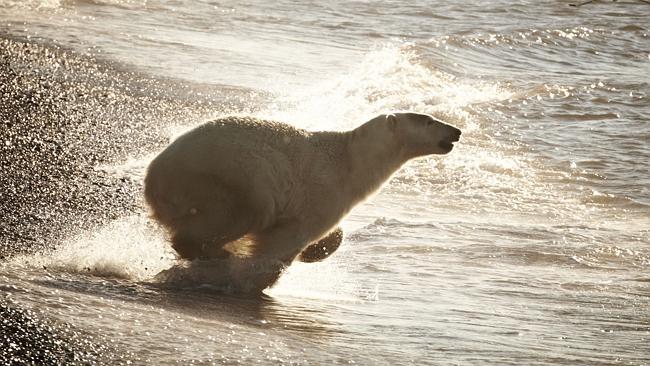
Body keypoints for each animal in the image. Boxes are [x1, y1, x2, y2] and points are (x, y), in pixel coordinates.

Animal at [146, 113, 460, 290]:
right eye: (430, 120)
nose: (456, 131)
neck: (350, 160)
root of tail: (154, 176)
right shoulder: (322, 192)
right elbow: (284, 240)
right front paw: (252, 278)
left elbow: (332, 234)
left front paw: (316, 251)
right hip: (231, 179)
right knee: (238, 214)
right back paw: (217, 254)